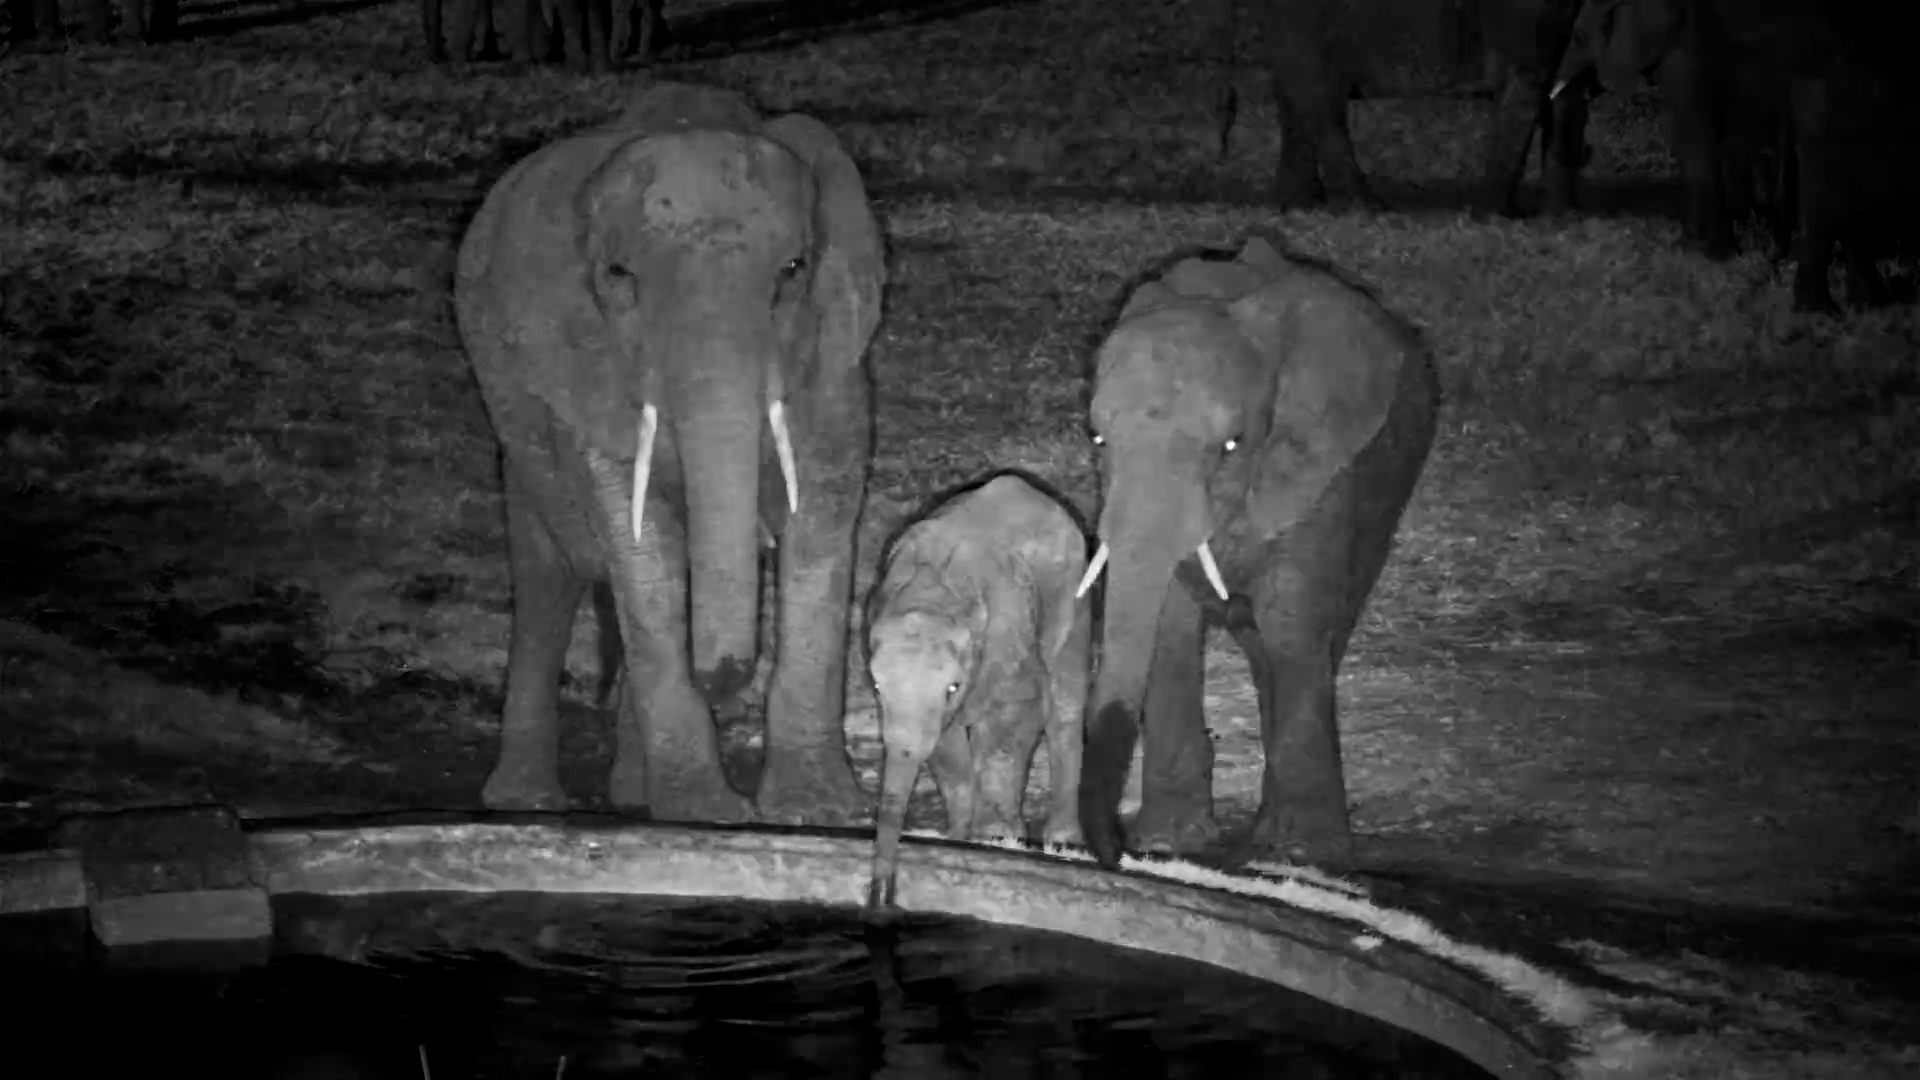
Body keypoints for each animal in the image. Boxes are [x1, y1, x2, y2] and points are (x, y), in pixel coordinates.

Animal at [453, 81, 886, 824]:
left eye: (793, 271)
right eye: (619, 275)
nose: (724, 675)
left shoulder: (837, 363)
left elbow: (821, 521)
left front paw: (818, 814)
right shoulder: (585, 373)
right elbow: (642, 551)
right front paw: (704, 814)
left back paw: (630, 794)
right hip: (516, 423)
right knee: (546, 580)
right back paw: (529, 802)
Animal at [864, 472, 1089, 912]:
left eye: (952, 687)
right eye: (877, 687)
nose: (880, 897)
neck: (930, 592)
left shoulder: (1009, 628)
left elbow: (1016, 714)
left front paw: (997, 839)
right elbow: (945, 744)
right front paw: (960, 840)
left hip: (1075, 597)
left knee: (1066, 708)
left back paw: (1065, 846)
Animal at [1074, 236, 1439, 870]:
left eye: (1231, 445)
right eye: (1097, 438)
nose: (1115, 854)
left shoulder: (1323, 471)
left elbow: (1292, 619)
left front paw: (1300, 854)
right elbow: (1169, 626)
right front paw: (1170, 842)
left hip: (1390, 480)